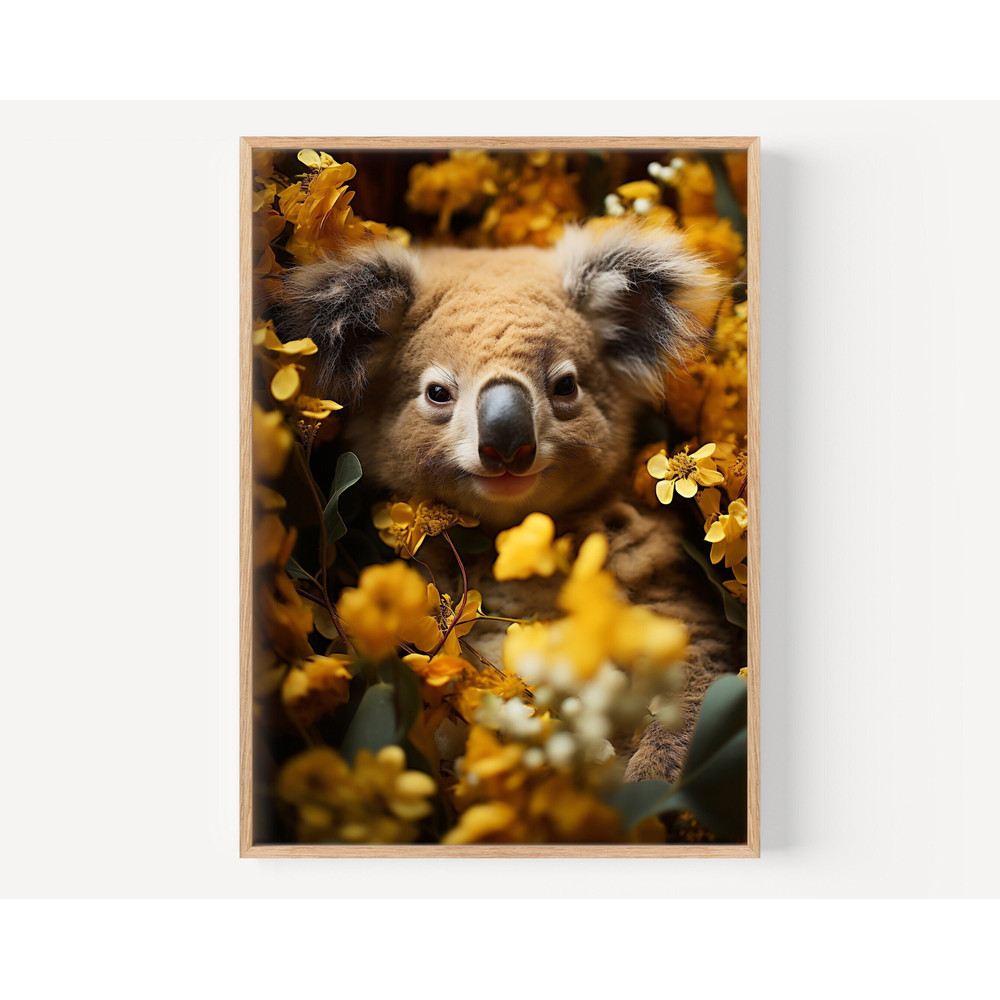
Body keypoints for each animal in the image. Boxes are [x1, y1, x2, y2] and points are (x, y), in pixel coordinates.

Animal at [277, 220, 741, 782]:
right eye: (437, 393)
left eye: (566, 386)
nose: (506, 443)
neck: (510, 537)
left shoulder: (645, 568)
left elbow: (690, 668)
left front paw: (653, 777)